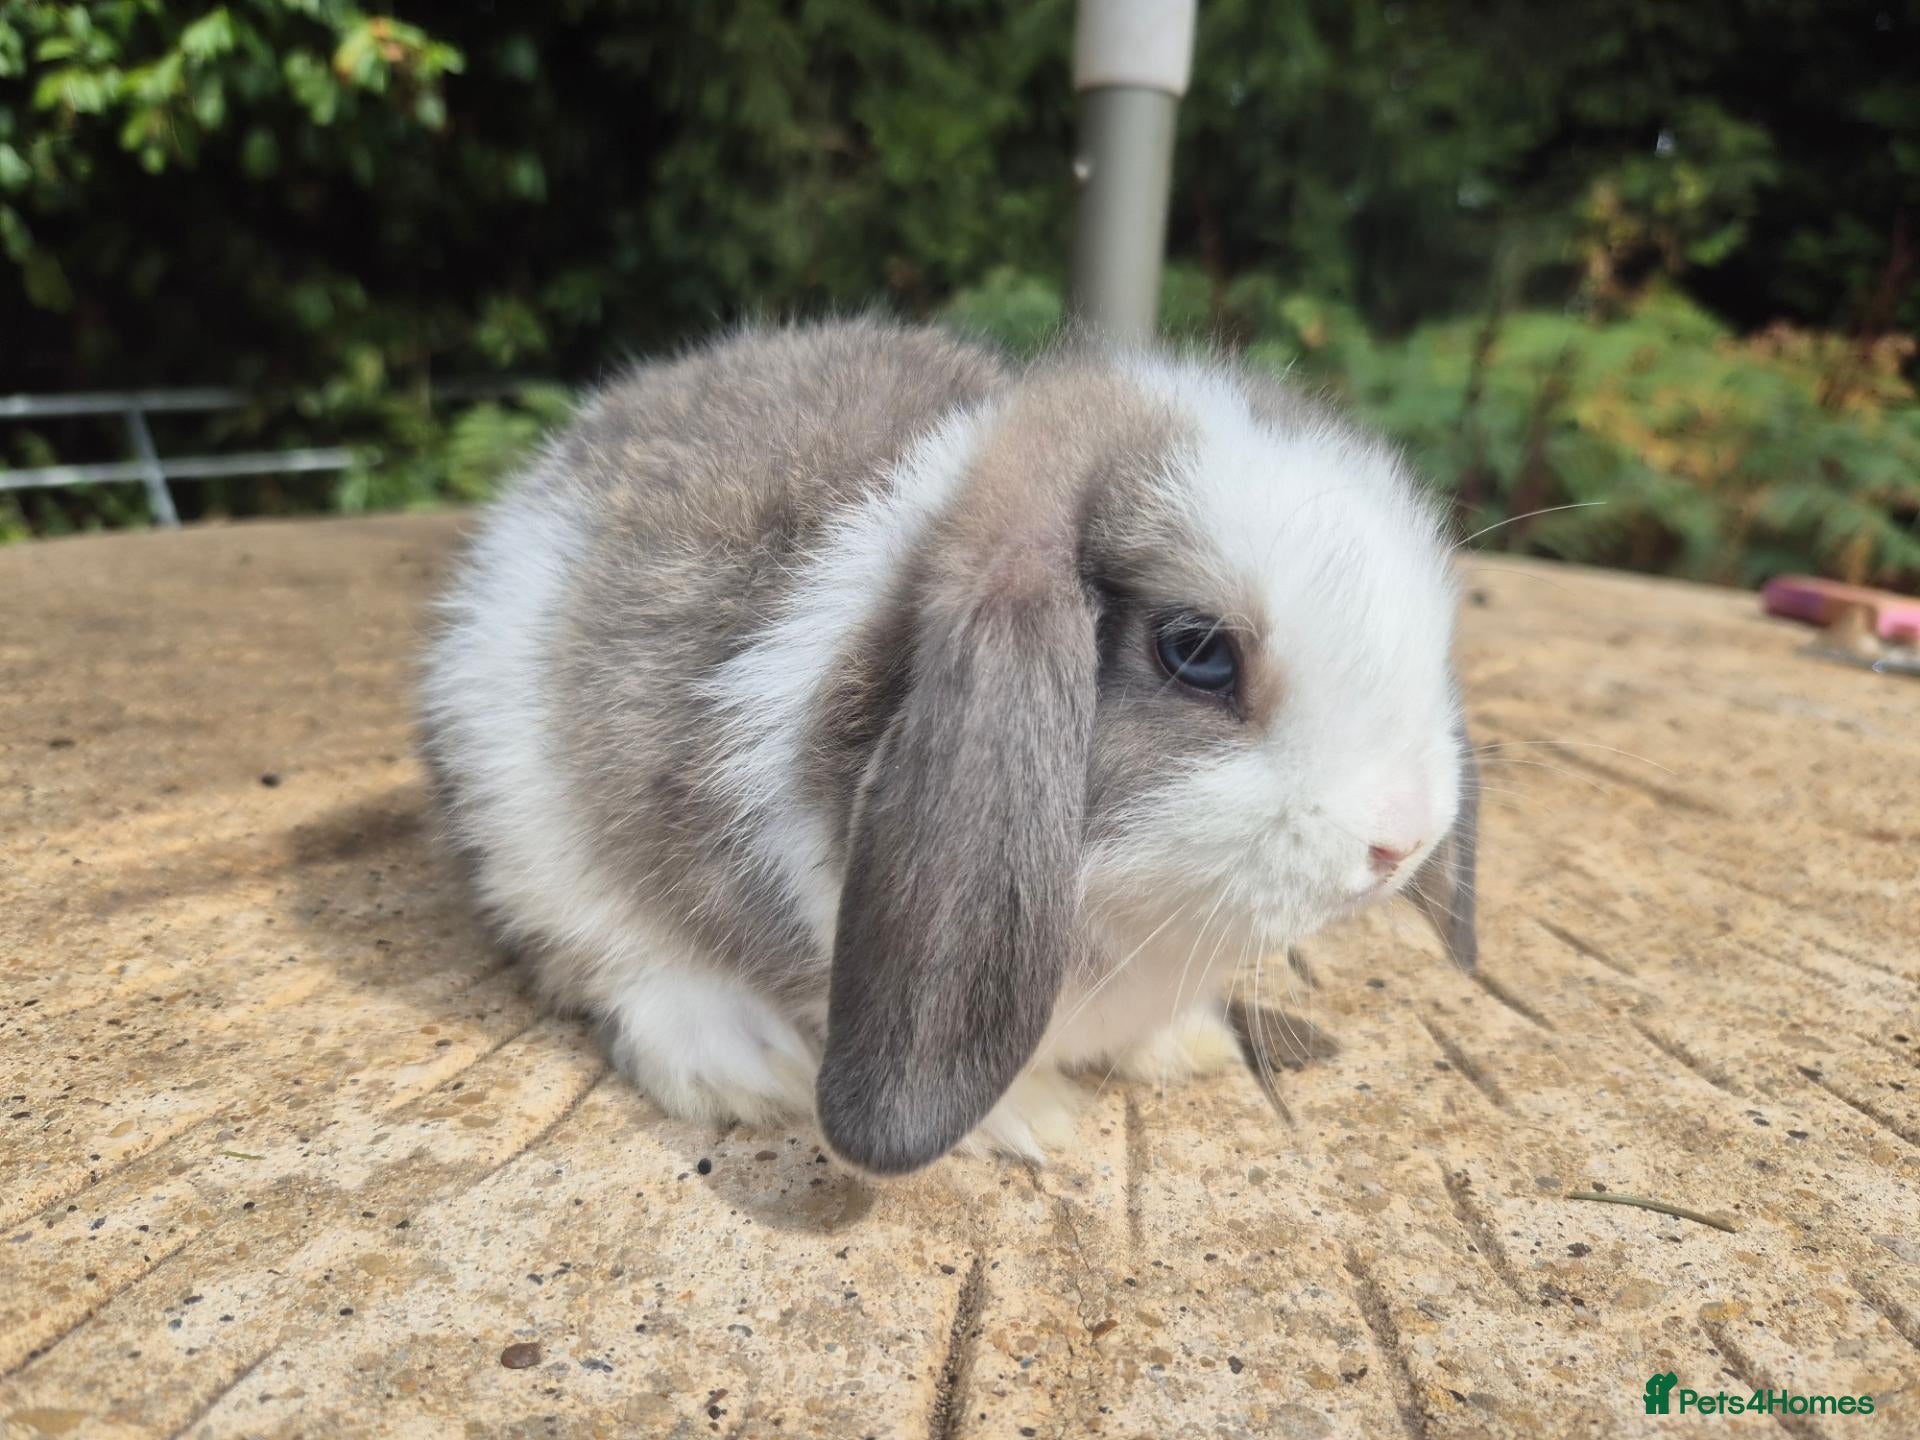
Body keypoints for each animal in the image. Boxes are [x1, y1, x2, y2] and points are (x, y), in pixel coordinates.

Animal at [419, 317, 1479, 1176]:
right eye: (1197, 652)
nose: (1403, 840)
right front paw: (1032, 1121)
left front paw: (1188, 1045)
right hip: (525, 828)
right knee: (606, 954)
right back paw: (740, 1065)